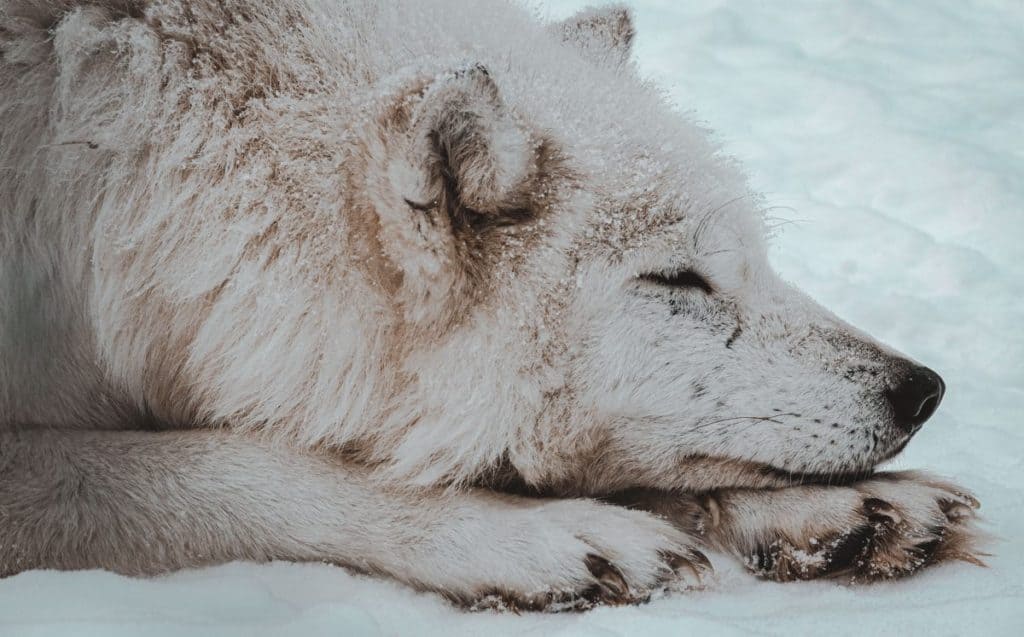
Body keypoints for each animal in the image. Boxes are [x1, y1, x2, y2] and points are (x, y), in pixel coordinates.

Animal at [2, 0, 983, 610]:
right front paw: (527, 534)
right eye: (678, 282)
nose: (923, 388)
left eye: (756, 260)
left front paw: (842, 509)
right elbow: (225, 467)